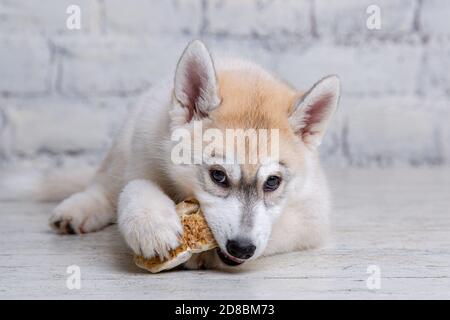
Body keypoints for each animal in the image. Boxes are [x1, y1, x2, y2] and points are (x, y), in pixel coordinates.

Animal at [47, 40, 340, 270]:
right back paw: (78, 209)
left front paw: (200, 255)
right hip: (125, 142)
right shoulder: (142, 157)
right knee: (106, 186)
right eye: (218, 176)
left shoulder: (313, 214)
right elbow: (134, 187)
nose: (242, 248)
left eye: (272, 182)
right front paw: (151, 225)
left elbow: (279, 227)